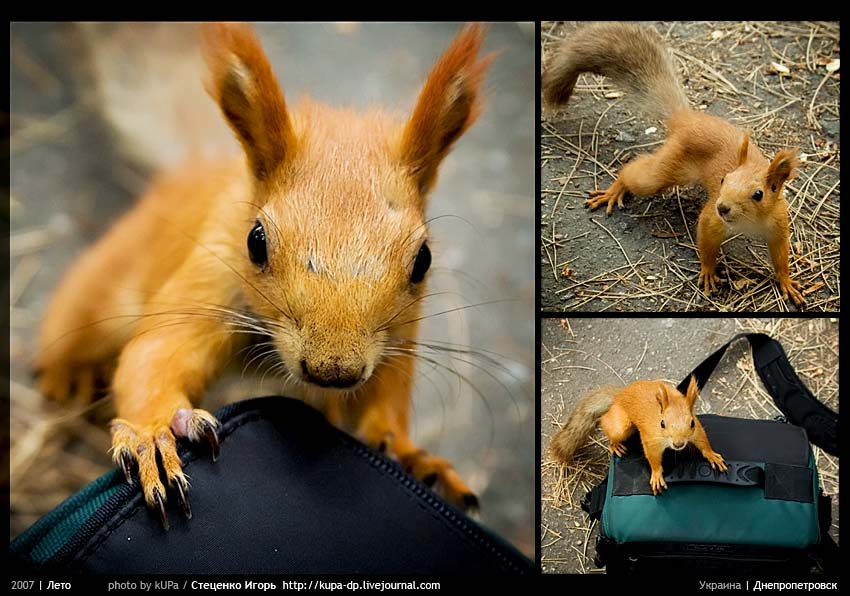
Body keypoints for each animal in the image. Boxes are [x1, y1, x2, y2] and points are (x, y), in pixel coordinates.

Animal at [34, 23, 492, 527]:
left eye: (423, 260)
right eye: (255, 241)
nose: (334, 371)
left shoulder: (398, 338)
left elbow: (383, 397)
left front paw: (412, 457)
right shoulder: (211, 273)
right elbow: (153, 354)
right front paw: (154, 433)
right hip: (106, 287)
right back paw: (66, 375)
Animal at [542, 22, 804, 307]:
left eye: (759, 194)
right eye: (723, 179)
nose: (723, 207)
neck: (749, 222)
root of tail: (686, 119)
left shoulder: (779, 225)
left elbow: (781, 257)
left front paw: (787, 282)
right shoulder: (711, 219)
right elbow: (706, 240)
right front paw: (708, 272)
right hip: (666, 167)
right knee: (635, 173)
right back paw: (614, 191)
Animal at [549, 376, 727, 495]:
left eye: (691, 423)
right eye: (662, 424)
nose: (678, 444)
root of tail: (619, 396)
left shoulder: (696, 431)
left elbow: (703, 441)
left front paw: (712, 456)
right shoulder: (652, 439)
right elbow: (653, 456)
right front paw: (657, 474)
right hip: (620, 426)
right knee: (606, 423)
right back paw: (615, 445)